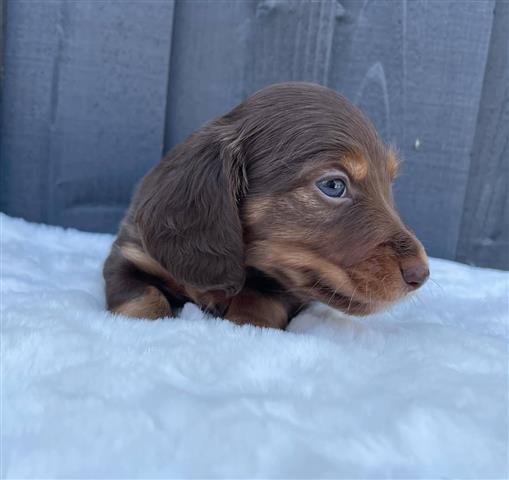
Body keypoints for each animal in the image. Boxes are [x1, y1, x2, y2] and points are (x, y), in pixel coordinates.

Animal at [103, 83, 428, 330]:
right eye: (333, 185)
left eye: (389, 182)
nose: (421, 274)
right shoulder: (129, 254)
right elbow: (140, 298)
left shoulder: (283, 286)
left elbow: (261, 300)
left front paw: (246, 325)